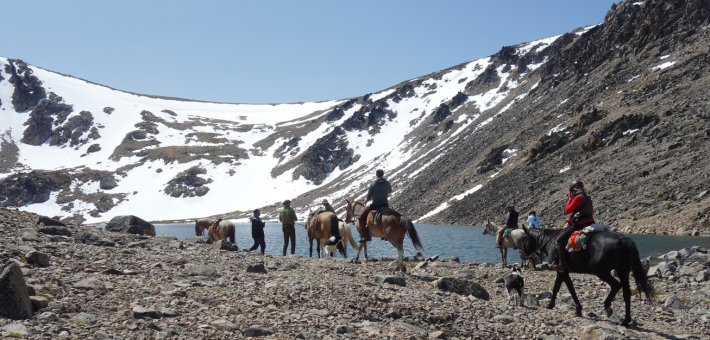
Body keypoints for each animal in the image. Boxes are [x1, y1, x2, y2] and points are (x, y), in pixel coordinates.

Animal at [516, 228, 656, 326]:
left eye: (523, 239)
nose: (521, 254)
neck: (550, 241)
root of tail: (623, 239)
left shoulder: (561, 271)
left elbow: (559, 288)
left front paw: (551, 305)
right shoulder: (565, 272)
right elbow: (569, 288)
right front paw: (577, 309)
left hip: (601, 271)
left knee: (616, 285)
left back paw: (607, 307)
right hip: (623, 271)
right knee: (626, 292)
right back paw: (625, 321)